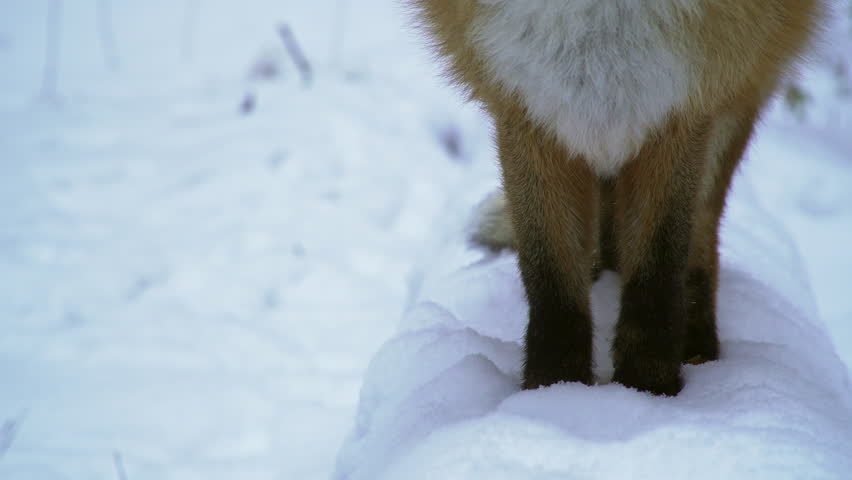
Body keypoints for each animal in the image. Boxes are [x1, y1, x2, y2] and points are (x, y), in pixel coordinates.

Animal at [412, 0, 824, 395]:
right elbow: (551, 282)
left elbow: (658, 272)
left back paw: (698, 346)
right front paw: (552, 391)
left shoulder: (686, 99)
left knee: (700, 235)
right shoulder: (526, 103)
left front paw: (647, 390)